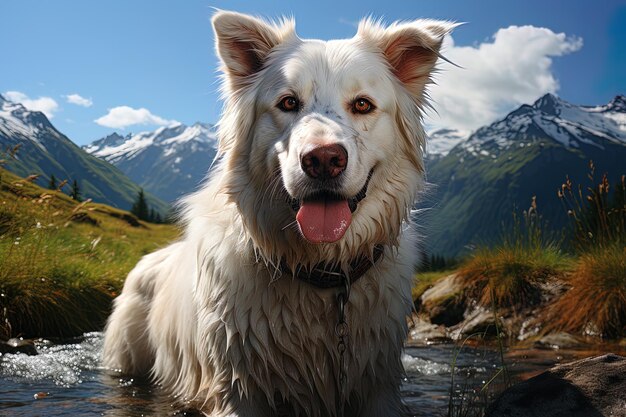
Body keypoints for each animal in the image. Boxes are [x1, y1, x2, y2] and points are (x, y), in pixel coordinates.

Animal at [103, 10, 454, 416]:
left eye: (363, 105)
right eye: (288, 103)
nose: (323, 160)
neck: (318, 271)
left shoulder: (375, 385)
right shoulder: (238, 388)